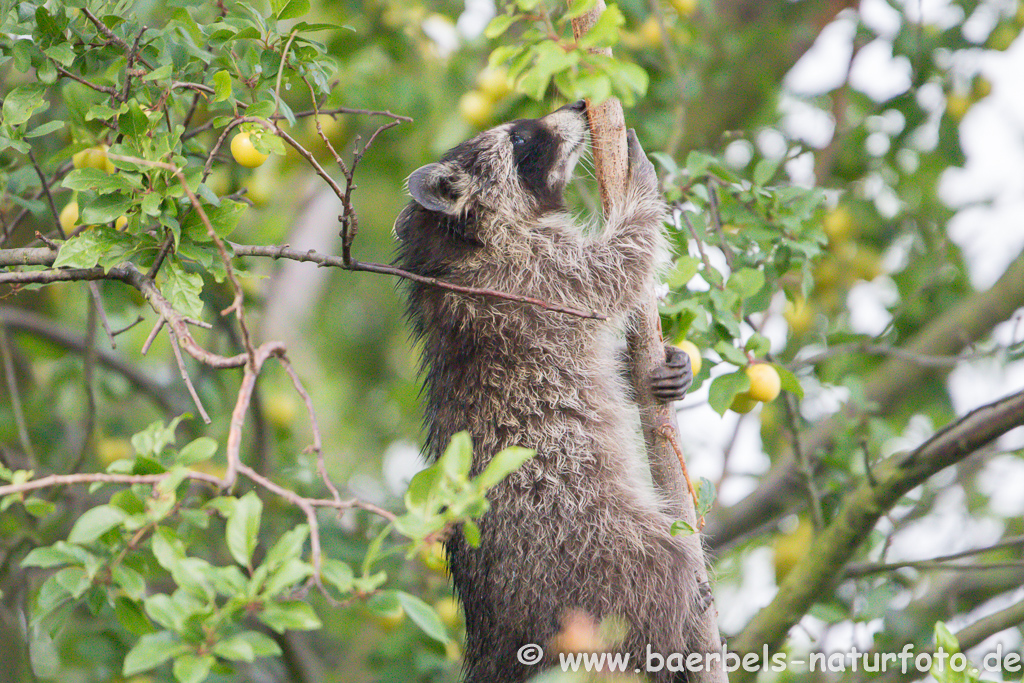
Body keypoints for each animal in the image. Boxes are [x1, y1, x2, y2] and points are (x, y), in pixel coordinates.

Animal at [391, 101, 704, 683]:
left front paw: (671, 364)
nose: (578, 105)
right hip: (597, 547)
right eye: (518, 139)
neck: (458, 245)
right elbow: (615, 268)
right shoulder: (536, 279)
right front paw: (642, 191)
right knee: (666, 569)